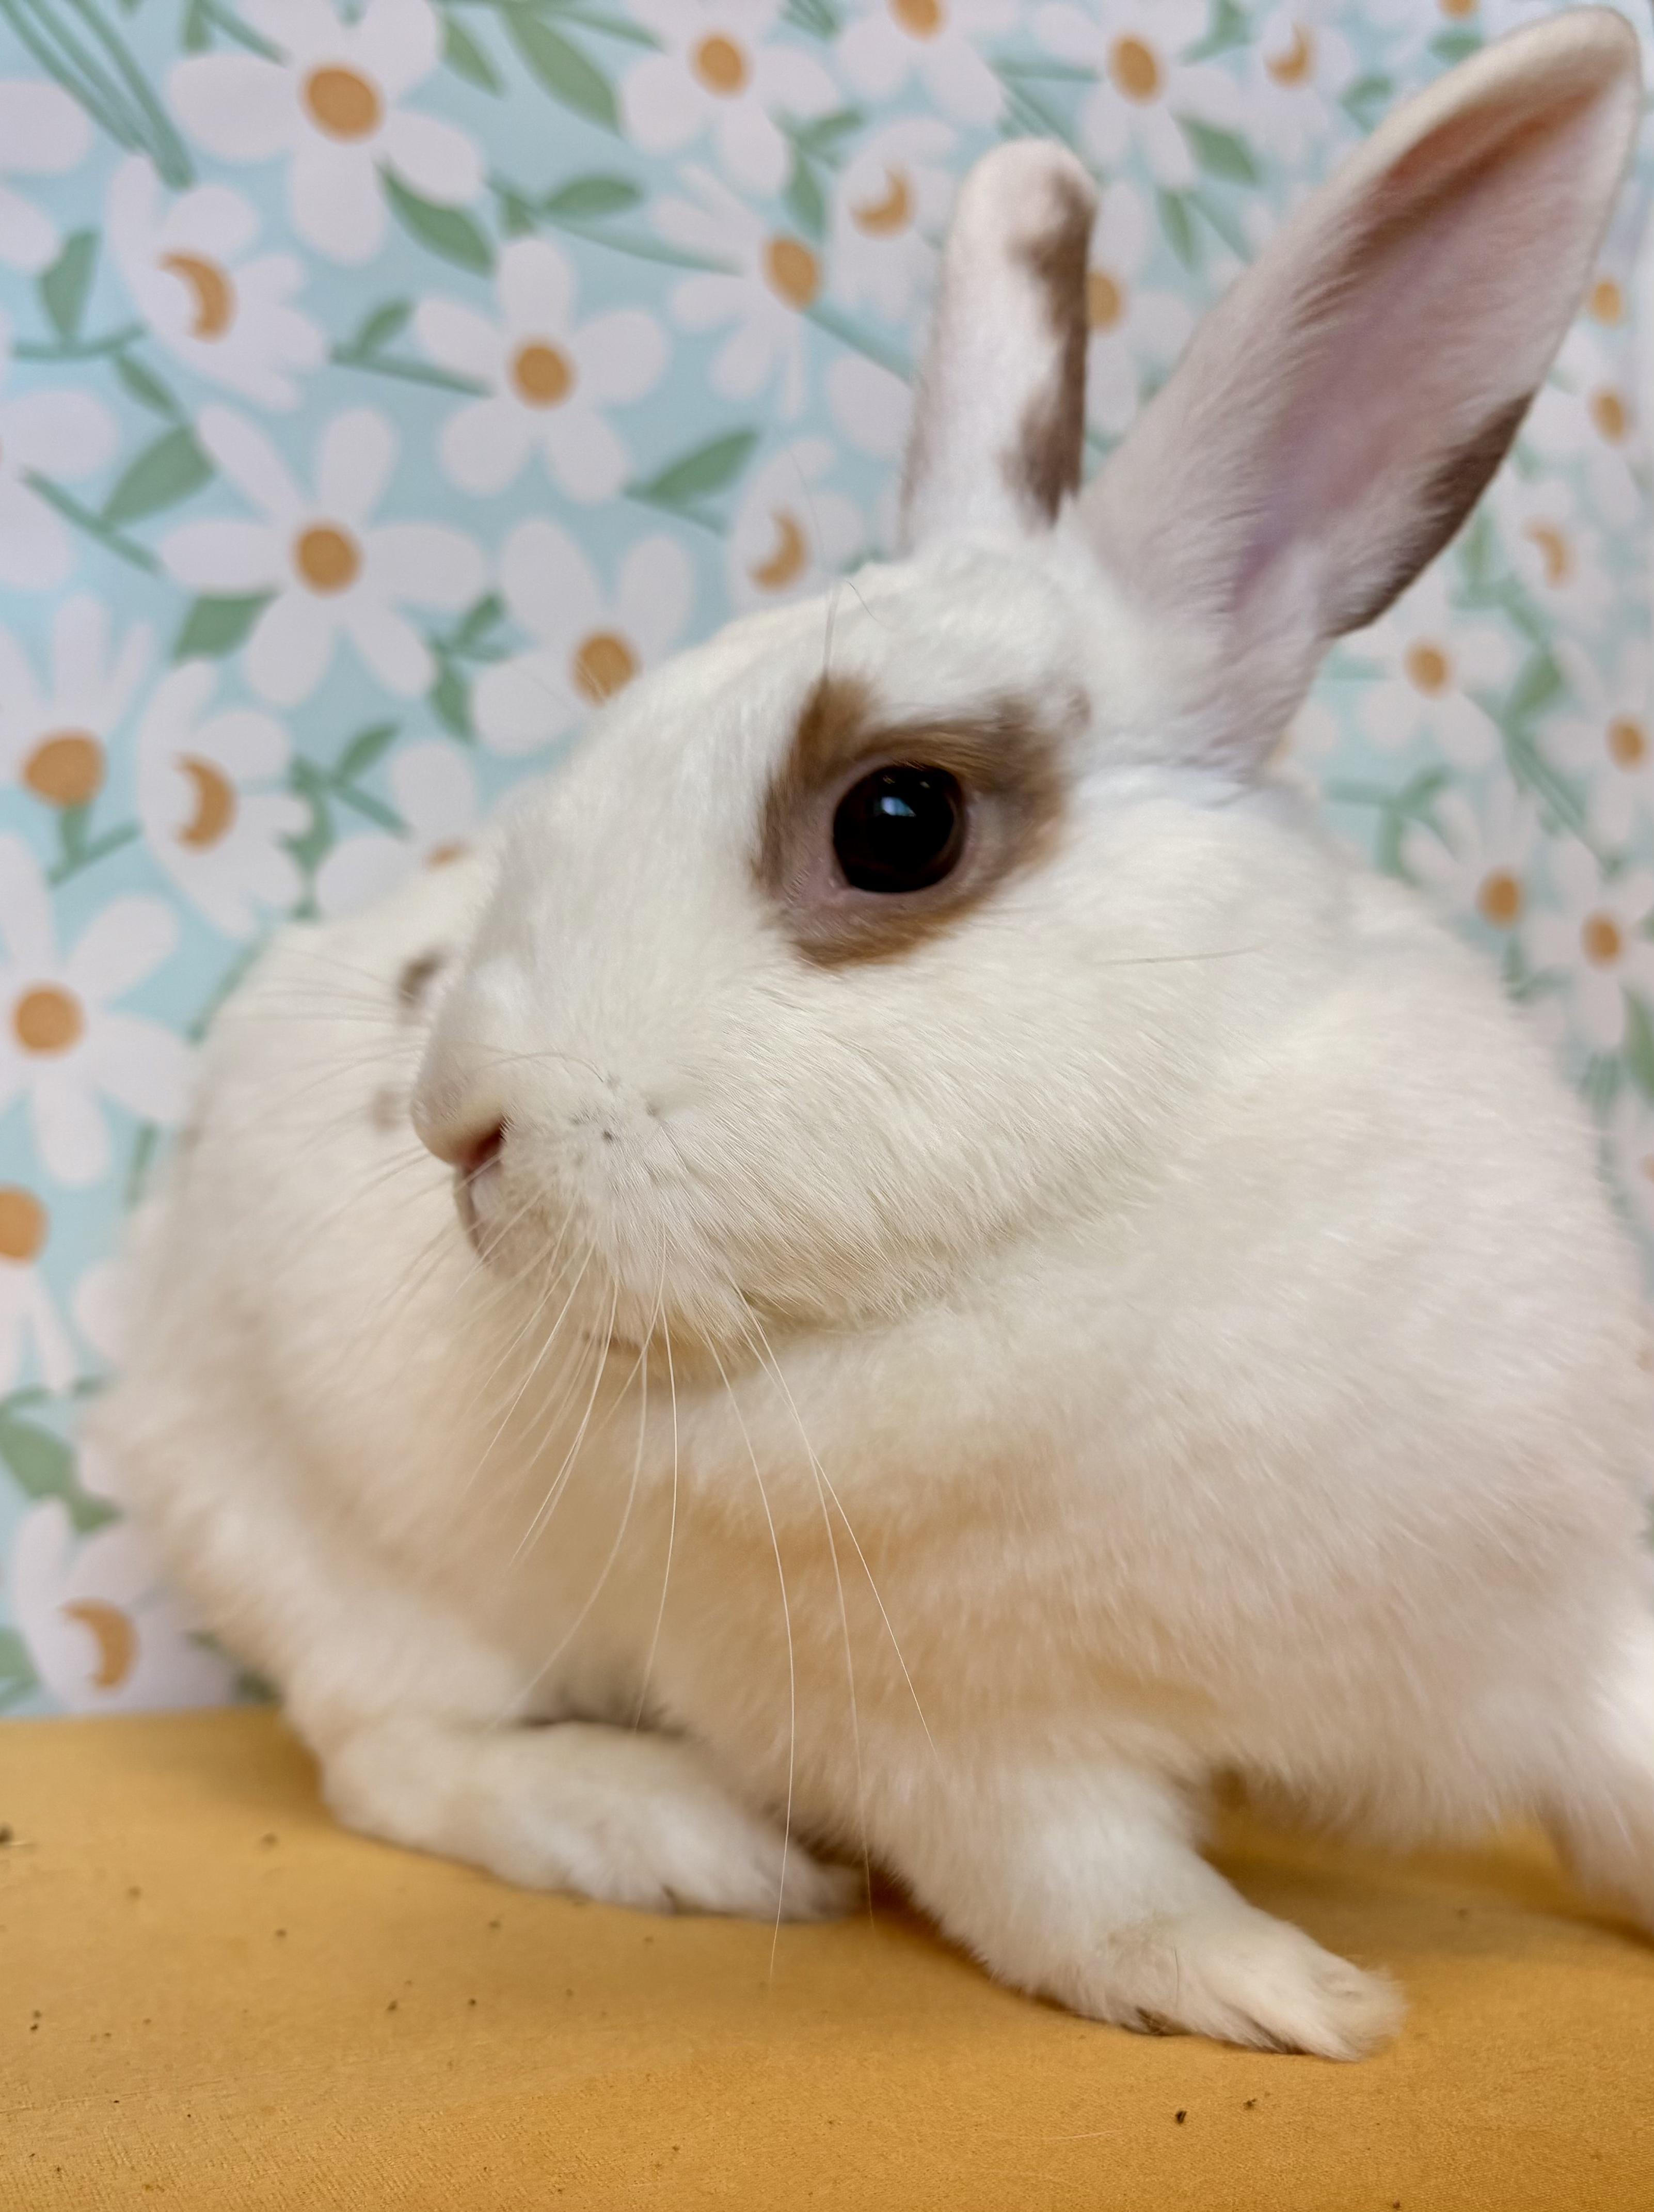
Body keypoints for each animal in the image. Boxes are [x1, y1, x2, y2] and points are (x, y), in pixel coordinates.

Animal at [91, 10, 1654, 2061]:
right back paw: (666, 1833)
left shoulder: (1567, 1612)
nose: (456, 1121)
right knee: (390, 1749)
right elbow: (1095, 1899)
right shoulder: (965, 1748)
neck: (1105, 1212)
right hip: (340, 1548)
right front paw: (1290, 1993)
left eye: (895, 822)